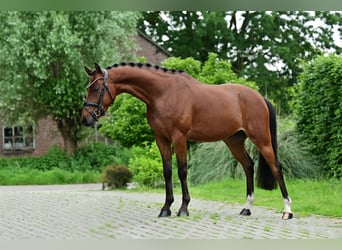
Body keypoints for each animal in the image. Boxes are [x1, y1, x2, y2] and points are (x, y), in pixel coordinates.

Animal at [81, 62, 292, 219]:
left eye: (97, 88)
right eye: (88, 88)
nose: (85, 119)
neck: (163, 92)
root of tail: (260, 97)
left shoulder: (179, 138)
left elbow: (182, 171)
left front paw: (183, 208)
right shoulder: (161, 139)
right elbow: (167, 171)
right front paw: (166, 208)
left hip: (262, 139)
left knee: (276, 167)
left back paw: (287, 211)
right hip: (234, 141)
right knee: (248, 165)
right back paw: (247, 208)